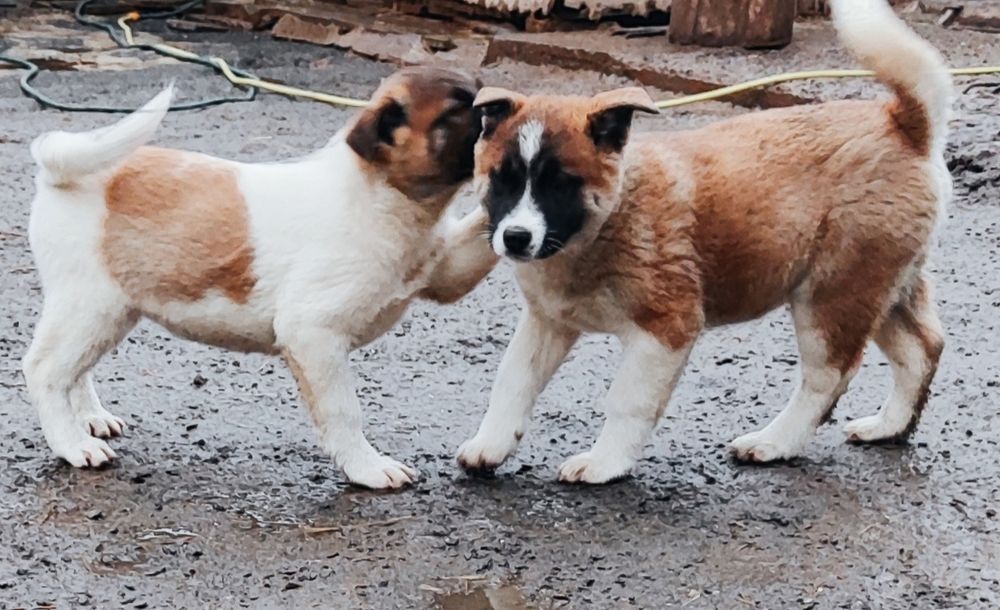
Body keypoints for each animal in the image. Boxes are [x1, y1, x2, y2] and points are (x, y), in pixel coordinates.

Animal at [24, 67, 498, 489]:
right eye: (459, 109)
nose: (501, 113)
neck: (383, 197)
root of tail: (57, 173)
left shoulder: (449, 271)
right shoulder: (314, 334)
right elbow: (344, 411)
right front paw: (367, 469)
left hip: (109, 311)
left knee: (75, 369)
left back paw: (90, 418)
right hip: (91, 305)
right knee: (45, 369)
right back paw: (73, 444)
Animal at [456, 0, 952, 483]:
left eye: (560, 185)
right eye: (502, 180)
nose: (516, 238)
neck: (605, 223)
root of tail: (903, 125)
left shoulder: (665, 330)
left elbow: (627, 400)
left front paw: (605, 463)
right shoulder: (548, 320)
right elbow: (513, 381)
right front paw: (491, 444)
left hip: (833, 293)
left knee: (829, 376)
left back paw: (775, 443)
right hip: (882, 285)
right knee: (922, 348)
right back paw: (889, 426)